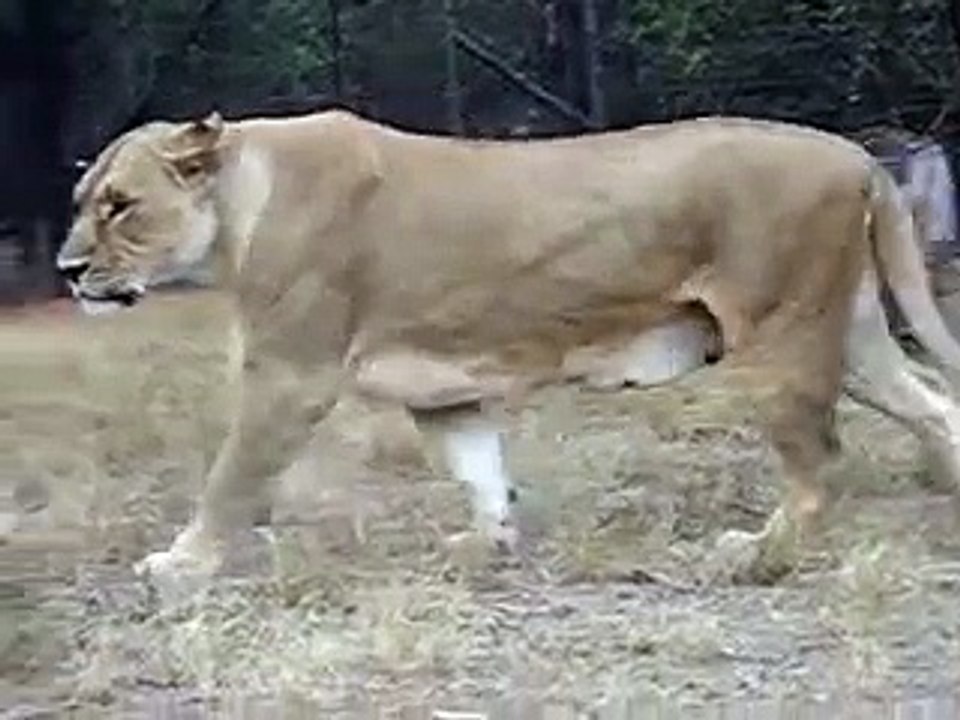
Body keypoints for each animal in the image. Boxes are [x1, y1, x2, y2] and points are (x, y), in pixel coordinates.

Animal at [57, 108, 960, 586]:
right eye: (82, 203)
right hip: (852, 332)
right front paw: (487, 543)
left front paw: (183, 561)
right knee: (934, 404)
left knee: (818, 462)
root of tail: (852, 150)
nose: (67, 270)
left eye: (119, 205)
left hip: (780, 332)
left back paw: (759, 553)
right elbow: (479, 467)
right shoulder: (441, 389)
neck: (240, 204)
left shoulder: (288, 377)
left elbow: (231, 478)